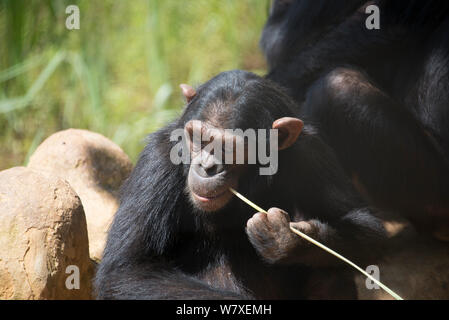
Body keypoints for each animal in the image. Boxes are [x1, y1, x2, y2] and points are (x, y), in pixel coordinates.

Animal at [94, 70, 384, 300]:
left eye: (229, 149)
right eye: (197, 138)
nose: (207, 167)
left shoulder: (311, 152)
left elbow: (364, 225)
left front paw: (284, 239)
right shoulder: (157, 161)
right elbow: (128, 270)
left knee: (331, 272)